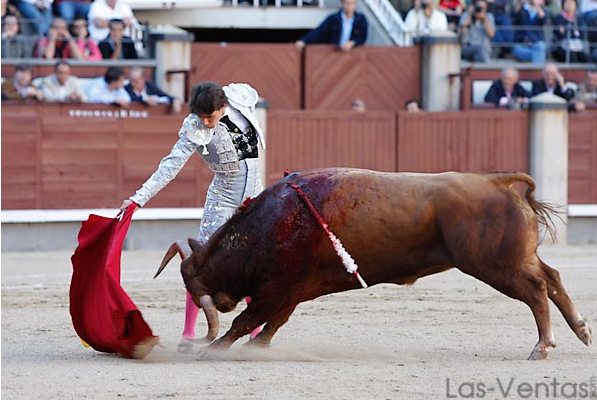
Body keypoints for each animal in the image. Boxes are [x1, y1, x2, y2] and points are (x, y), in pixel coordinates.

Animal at [156, 167, 588, 360]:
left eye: (197, 282)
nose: (221, 300)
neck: (269, 223)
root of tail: (499, 183)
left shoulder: (279, 285)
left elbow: (248, 320)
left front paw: (213, 350)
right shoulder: (292, 291)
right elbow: (271, 324)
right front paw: (255, 348)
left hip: (494, 264)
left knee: (536, 290)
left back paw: (543, 346)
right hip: (516, 257)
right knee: (551, 277)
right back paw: (581, 331)